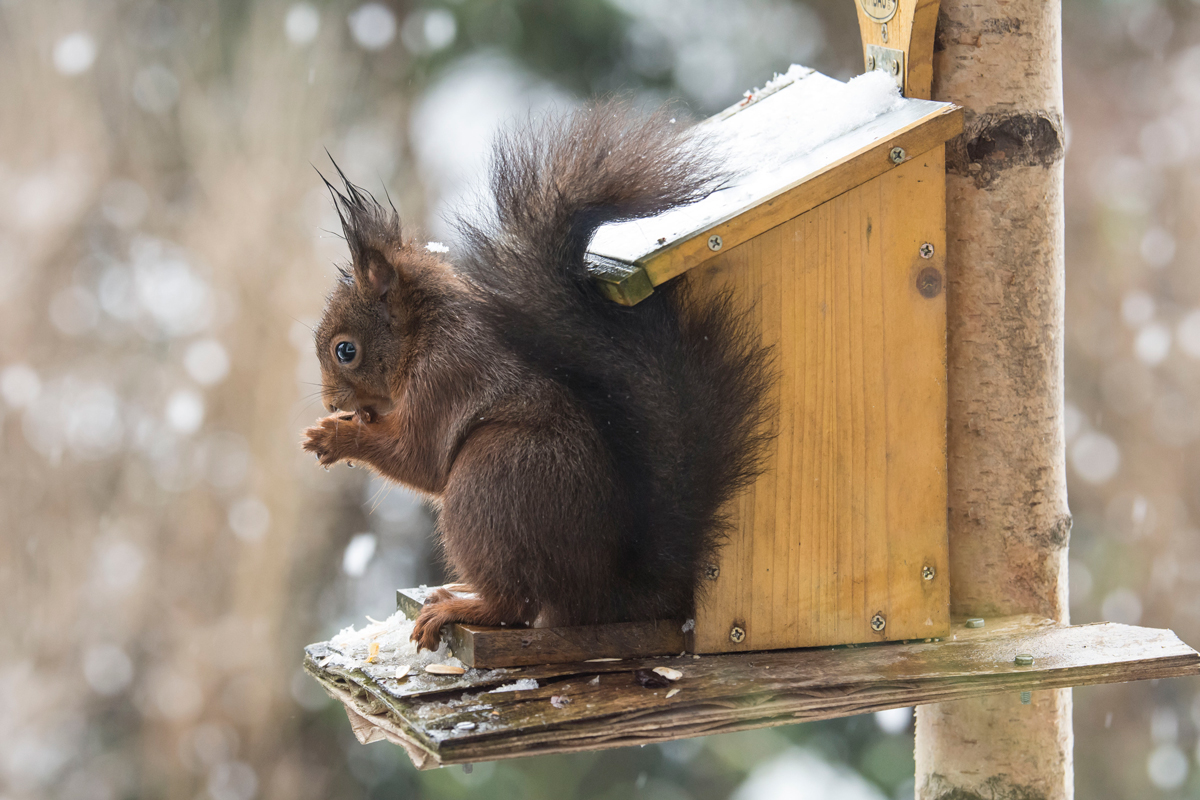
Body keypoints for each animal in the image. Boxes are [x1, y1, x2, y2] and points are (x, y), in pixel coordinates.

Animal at [302, 102, 773, 651]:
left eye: (345, 351)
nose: (332, 403)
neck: (425, 332)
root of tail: (605, 596)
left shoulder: (446, 377)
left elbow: (419, 458)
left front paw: (333, 437)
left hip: (490, 480)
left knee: (517, 605)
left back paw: (462, 606)